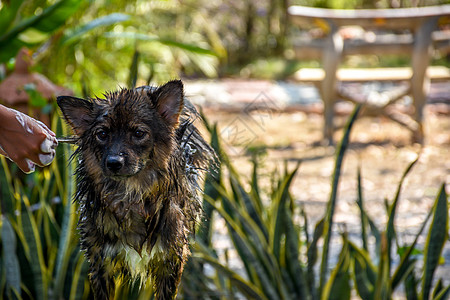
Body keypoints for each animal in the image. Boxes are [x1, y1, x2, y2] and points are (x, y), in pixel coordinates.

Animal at [56, 81, 214, 298]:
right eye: (102, 134)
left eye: (138, 133)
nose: (114, 162)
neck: (130, 195)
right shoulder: (100, 263)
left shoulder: (170, 261)